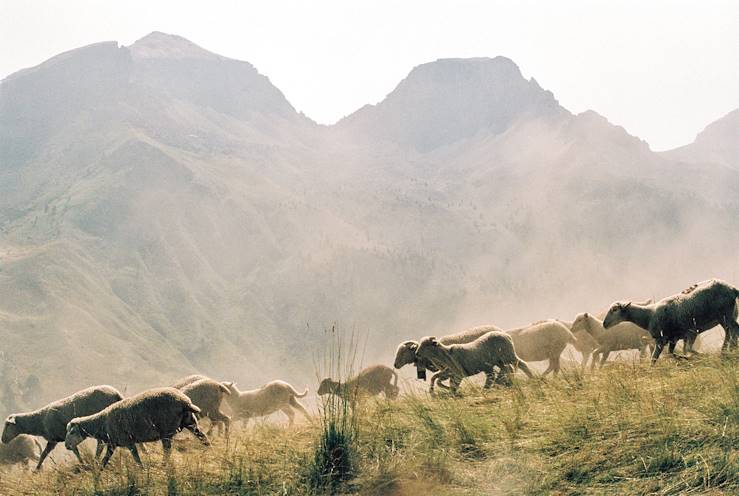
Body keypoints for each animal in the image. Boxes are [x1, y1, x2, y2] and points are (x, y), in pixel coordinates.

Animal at [64, 388, 208, 468]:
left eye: (72, 432)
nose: (66, 446)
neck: (101, 423)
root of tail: (184, 401)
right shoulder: (112, 444)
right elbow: (105, 460)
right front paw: (98, 472)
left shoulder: (128, 441)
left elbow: (137, 458)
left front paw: (142, 469)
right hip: (190, 422)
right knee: (203, 437)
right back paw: (208, 450)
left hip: (166, 430)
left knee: (167, 450)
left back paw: (163, 465)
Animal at [604, 278, 739, 362]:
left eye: (614, 309)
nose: (604, 324)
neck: (648, 315)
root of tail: (732, 288)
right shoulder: (672, 339)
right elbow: (665, 355)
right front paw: (684, 358)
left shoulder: (664, 339)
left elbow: (680, 352)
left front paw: (699, 356)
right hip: (727, 316)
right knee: (730, 332)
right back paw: (726, 350)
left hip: (725, 315)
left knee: (734, 330)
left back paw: (727, 351)